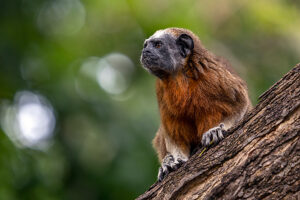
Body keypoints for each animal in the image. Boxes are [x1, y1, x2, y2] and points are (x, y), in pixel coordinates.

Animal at [140, 28, 251, 181]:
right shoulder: (161, 90)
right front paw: (173, 160)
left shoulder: (212, 74)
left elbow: (241, 103)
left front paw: (216, 130)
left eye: (157, 45)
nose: (145, 51)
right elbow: (172, 130)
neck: (179, 76)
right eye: (146, 45)